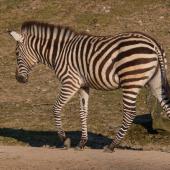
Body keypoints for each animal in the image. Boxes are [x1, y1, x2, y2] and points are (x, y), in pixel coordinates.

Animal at [8, 21, 170, 153]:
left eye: (16, 53)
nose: (18, 79)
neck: (59, 52)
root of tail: (152, 42)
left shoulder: (70, 83)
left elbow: (56, 108)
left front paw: (65, 140)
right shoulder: (83, 86)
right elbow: (83, 112)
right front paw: (82, 143)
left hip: (130, 82)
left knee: (129, 113)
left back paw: (112, 145)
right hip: (156, 83)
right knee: (167, 107)